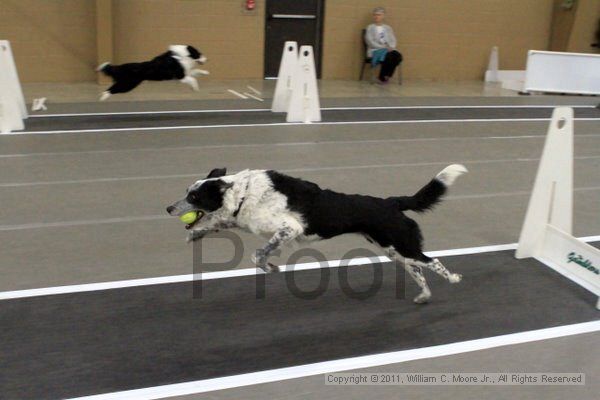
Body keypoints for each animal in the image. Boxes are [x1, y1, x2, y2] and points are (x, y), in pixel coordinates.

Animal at [166, 166, 466, 304]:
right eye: (186, 192)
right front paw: (196, 235)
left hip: (402, 246)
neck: (244, 193)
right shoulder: (242, 219)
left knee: (432, 262)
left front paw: (270, 267)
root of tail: (391, 202)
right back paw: (424, 296)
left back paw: (453, 278)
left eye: (194, 197)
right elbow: (219, 222)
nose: (168, 208)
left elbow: (257, 254)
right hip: (395, 251)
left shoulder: (289, 229)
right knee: (419, 270)